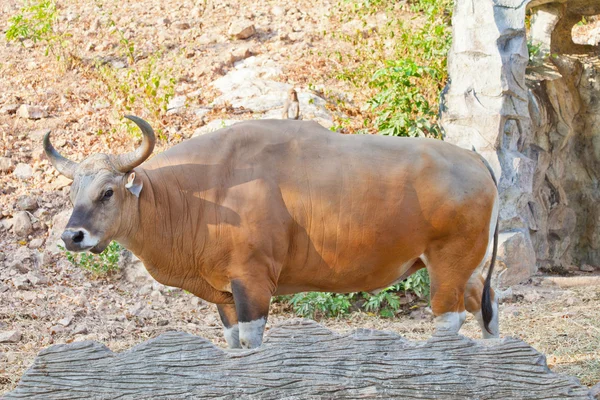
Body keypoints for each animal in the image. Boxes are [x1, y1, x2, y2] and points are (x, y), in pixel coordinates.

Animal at [44, 115, 500, 346]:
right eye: (72, 192)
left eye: (107, 192)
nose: (72, 237)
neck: (202, 193)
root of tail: (477, 161)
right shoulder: (225, 295)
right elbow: (233, 345)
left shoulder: (254, 283)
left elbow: (253, 344)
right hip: (467, 268)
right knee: (487, 307)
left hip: (447, 266)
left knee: (449, 320)